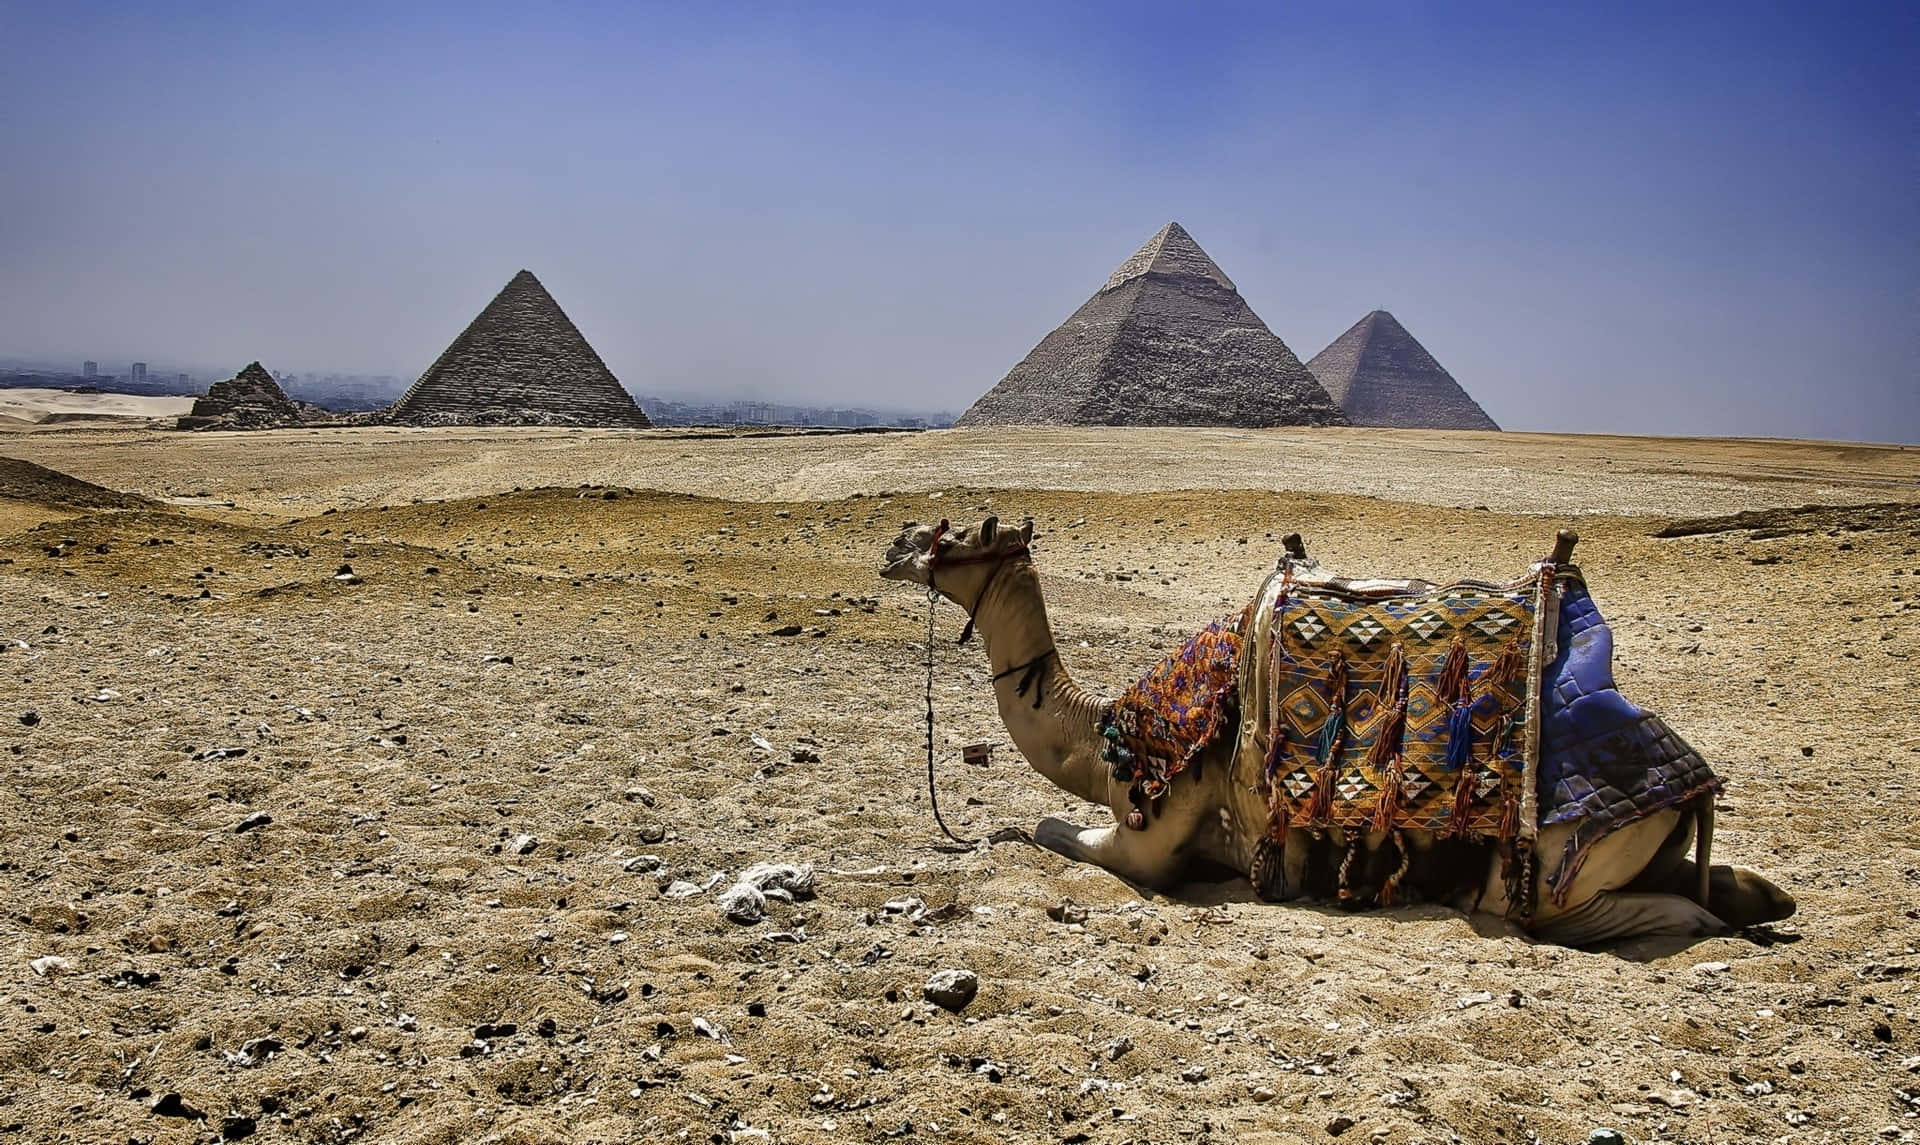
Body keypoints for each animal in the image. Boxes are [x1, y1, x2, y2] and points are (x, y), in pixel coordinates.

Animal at [881, 515, 1795, 947]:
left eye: (951, 537)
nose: (893, 548)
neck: (1109, 731)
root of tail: (1691, 782)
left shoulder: (1154, 836)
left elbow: (1048, 827)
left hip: (1550, 874)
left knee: (1652, 913)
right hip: (1646, 844)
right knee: (1728, 882)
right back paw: (1766, 898)